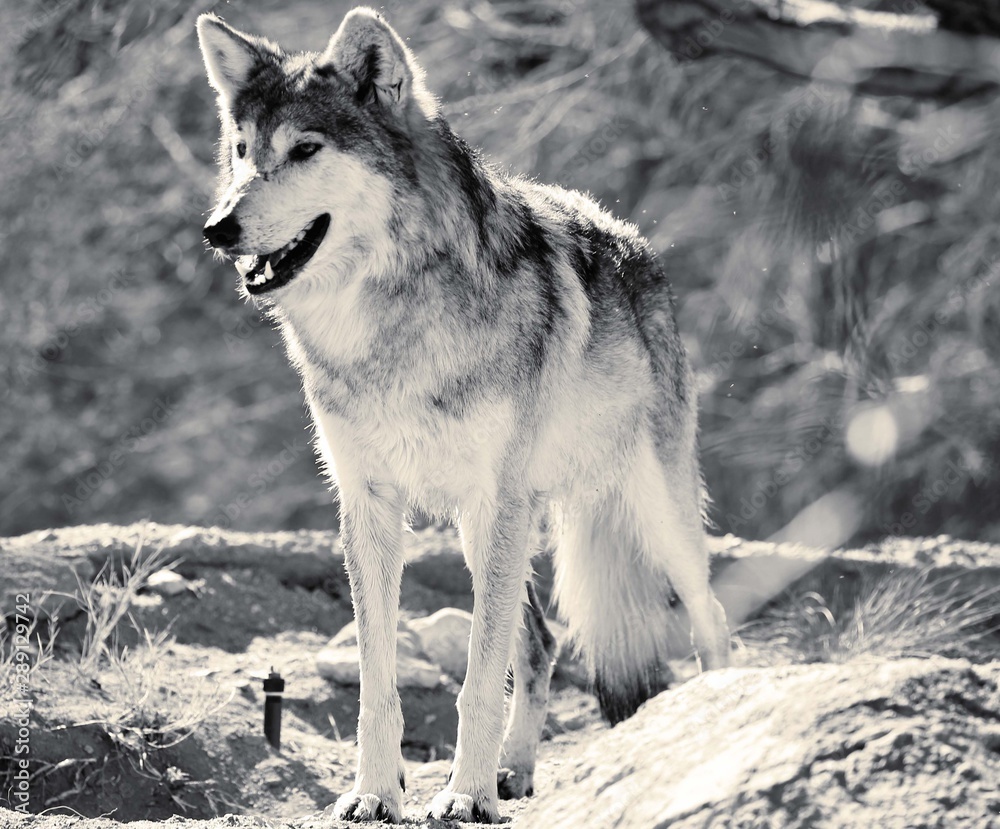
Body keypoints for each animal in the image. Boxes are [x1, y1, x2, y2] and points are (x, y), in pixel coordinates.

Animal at [196, 7, 730, 823]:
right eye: (243, 151)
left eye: (305, 150)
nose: (218, 228)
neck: (388, 330)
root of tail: (635, 243)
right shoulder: (369, 506)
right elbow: (380, 681)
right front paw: (377, 791)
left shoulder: (493, 500)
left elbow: (477, 679)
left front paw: (465, 795)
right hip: (495, 533)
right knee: (541, 646)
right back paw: (516, 769)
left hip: (640, 511)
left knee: (710, 620)